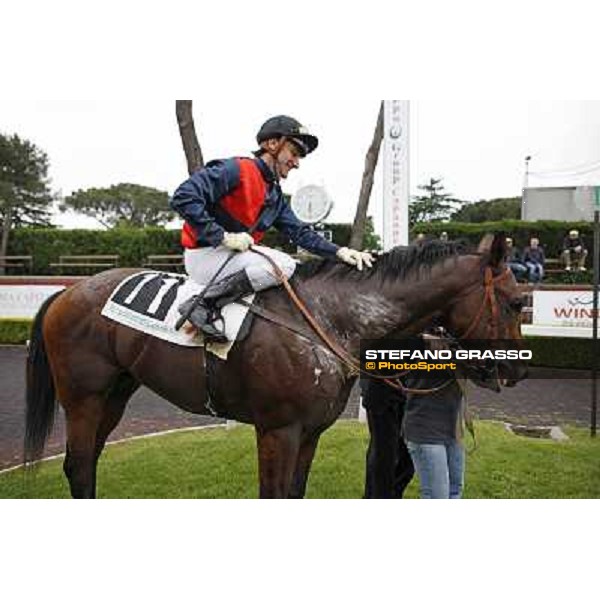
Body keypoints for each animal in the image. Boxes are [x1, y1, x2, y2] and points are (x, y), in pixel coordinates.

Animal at [25, 232, 528, 500]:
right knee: (79, 463)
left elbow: (294, 492)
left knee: (87, 461)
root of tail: (67, 291)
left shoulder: (309, 433)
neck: (329, 319)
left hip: (115, 393)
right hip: (84, 397)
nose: (515, 372)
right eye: (516, 301)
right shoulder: (277, 431)